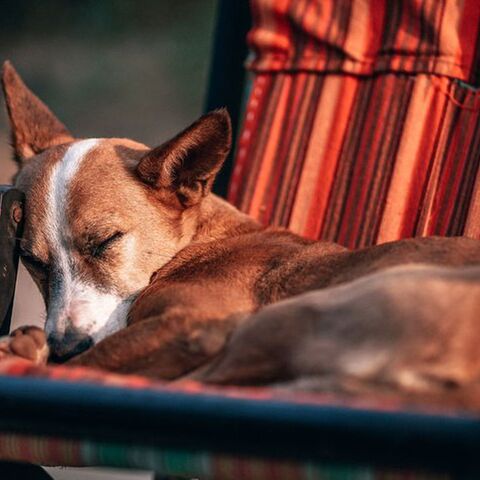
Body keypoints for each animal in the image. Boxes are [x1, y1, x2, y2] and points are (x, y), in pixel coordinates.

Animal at [2, 60, 480, 392]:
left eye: (106, 242)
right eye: (31, 260)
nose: (64, 346)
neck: (195, 245)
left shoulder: (194, 326)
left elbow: (97, 359)